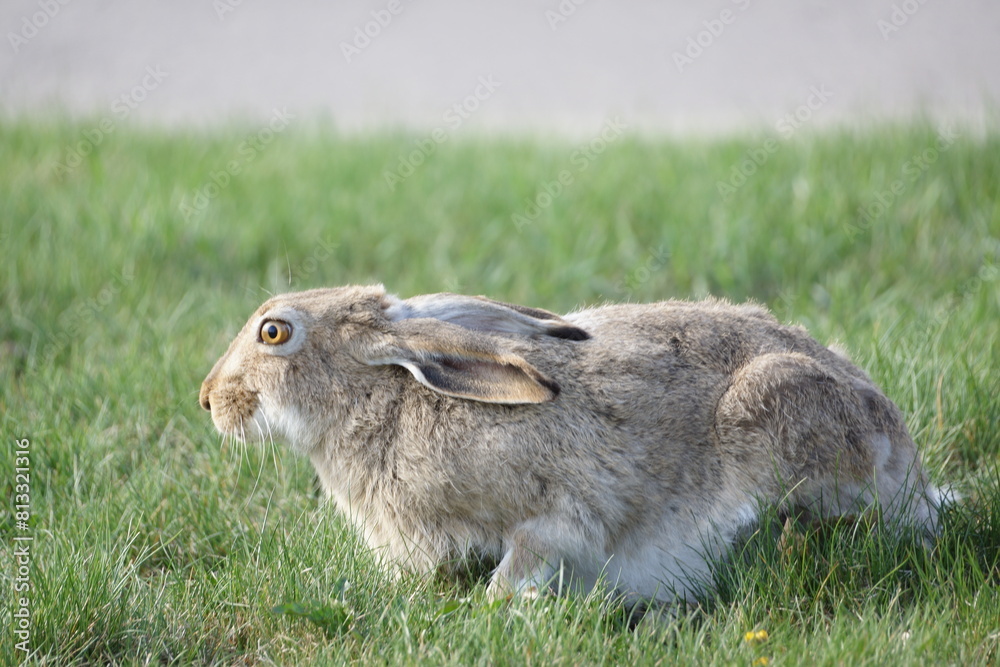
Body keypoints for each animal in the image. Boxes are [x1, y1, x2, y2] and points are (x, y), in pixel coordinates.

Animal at [199, 284, 942, 605]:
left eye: (274, 332)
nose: (209, 399)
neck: (388, 395)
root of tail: (909, 466)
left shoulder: (558, 511)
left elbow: (532, 554)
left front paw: (501, 605)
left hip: (778, 408)